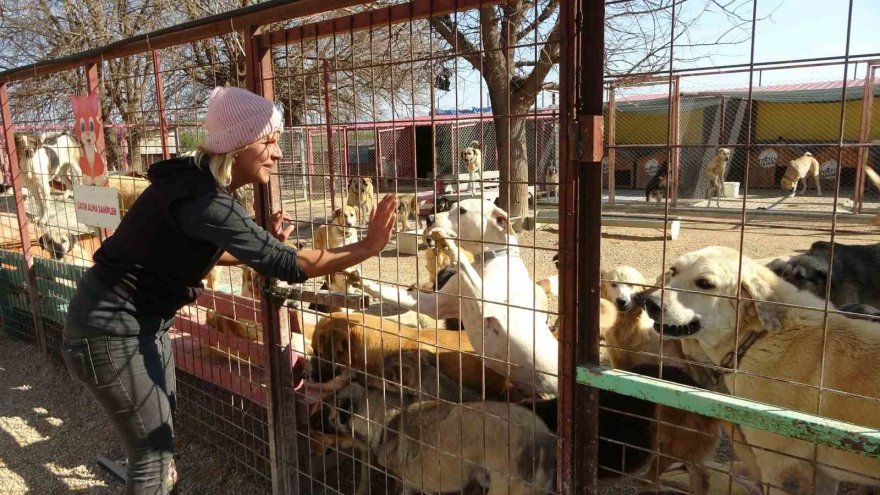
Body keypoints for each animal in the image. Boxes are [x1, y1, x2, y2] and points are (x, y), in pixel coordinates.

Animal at [348, 200, 556, 398]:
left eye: (462, 210)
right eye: (452, 206)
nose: (429, 218)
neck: (487, 260)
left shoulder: (484, 303)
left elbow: (462, 262)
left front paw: (448, 243)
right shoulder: (435, 305)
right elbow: (391, 293)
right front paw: (361, 281)